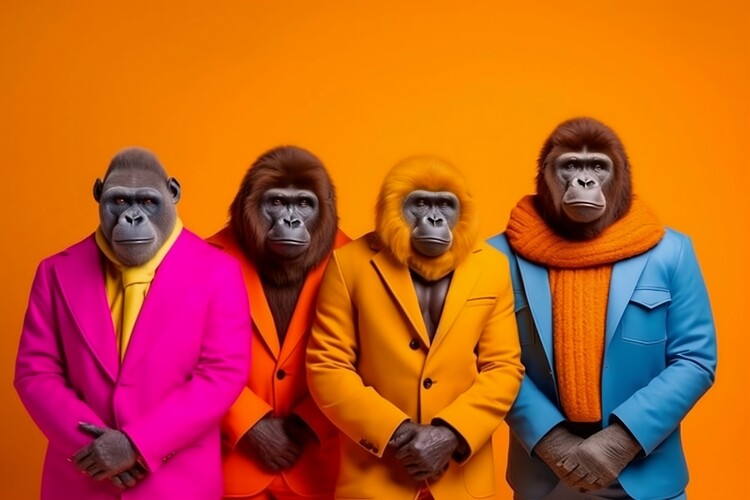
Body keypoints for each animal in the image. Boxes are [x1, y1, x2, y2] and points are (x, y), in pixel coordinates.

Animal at [14, 147, 251, 500]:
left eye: (149, 201)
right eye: (121, 201)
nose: (132, 218)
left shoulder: (228, 282)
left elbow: (220, 369)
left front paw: (116, 451)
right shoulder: (43, 280)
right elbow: (38, 367)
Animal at [306, 156, 524, 500]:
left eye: (445, 204)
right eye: (421, 203)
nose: (434, 218)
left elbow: (501, 364)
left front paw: (433, 445)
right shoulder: (334, 274)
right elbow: (331, 360)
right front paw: (415, 439)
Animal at [489, 117, 717, 500]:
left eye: (598, 166)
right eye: (570, 165)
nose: (584, 182)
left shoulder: (685, 259)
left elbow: (692, 356)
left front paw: (602, 454)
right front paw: (563, 449)